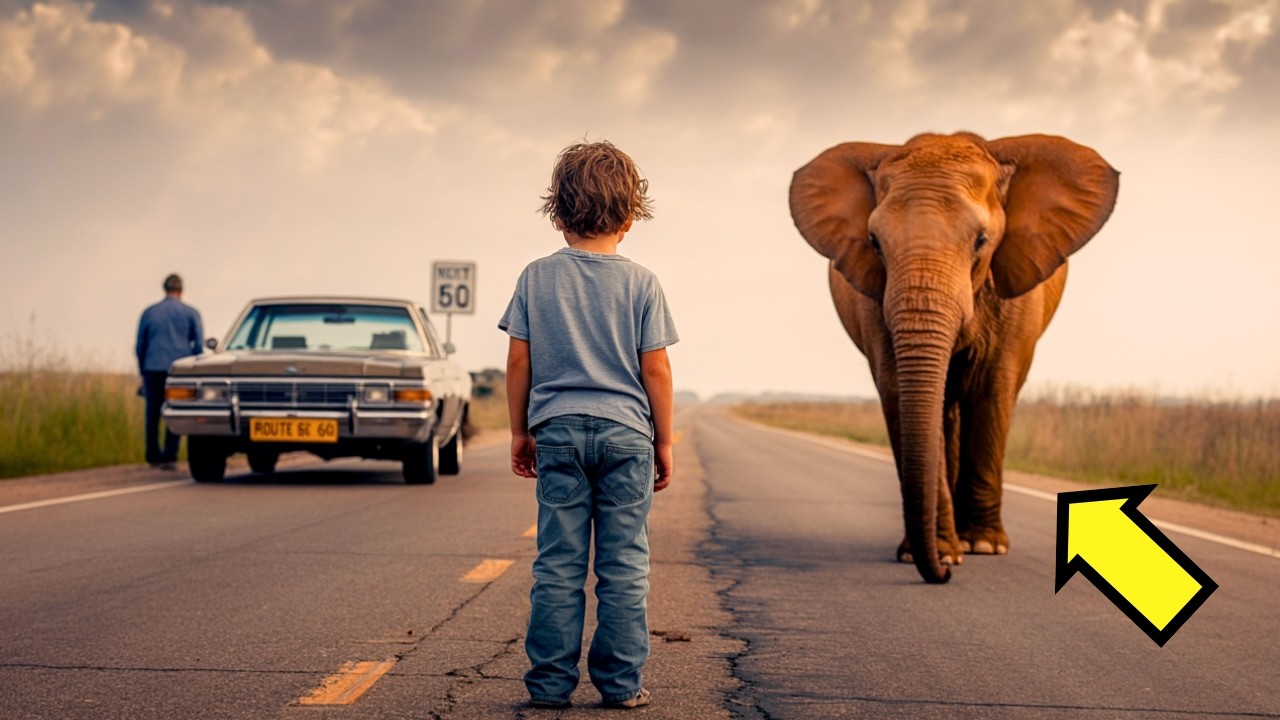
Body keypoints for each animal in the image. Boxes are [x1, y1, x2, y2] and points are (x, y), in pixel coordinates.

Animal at [789, 132, 1119, 584]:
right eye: (874, 243)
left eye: (981, 240)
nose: (942, 575)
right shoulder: (873, 299)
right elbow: (899, 393)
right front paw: (936, 553)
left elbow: (992, 391)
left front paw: (984, 547)